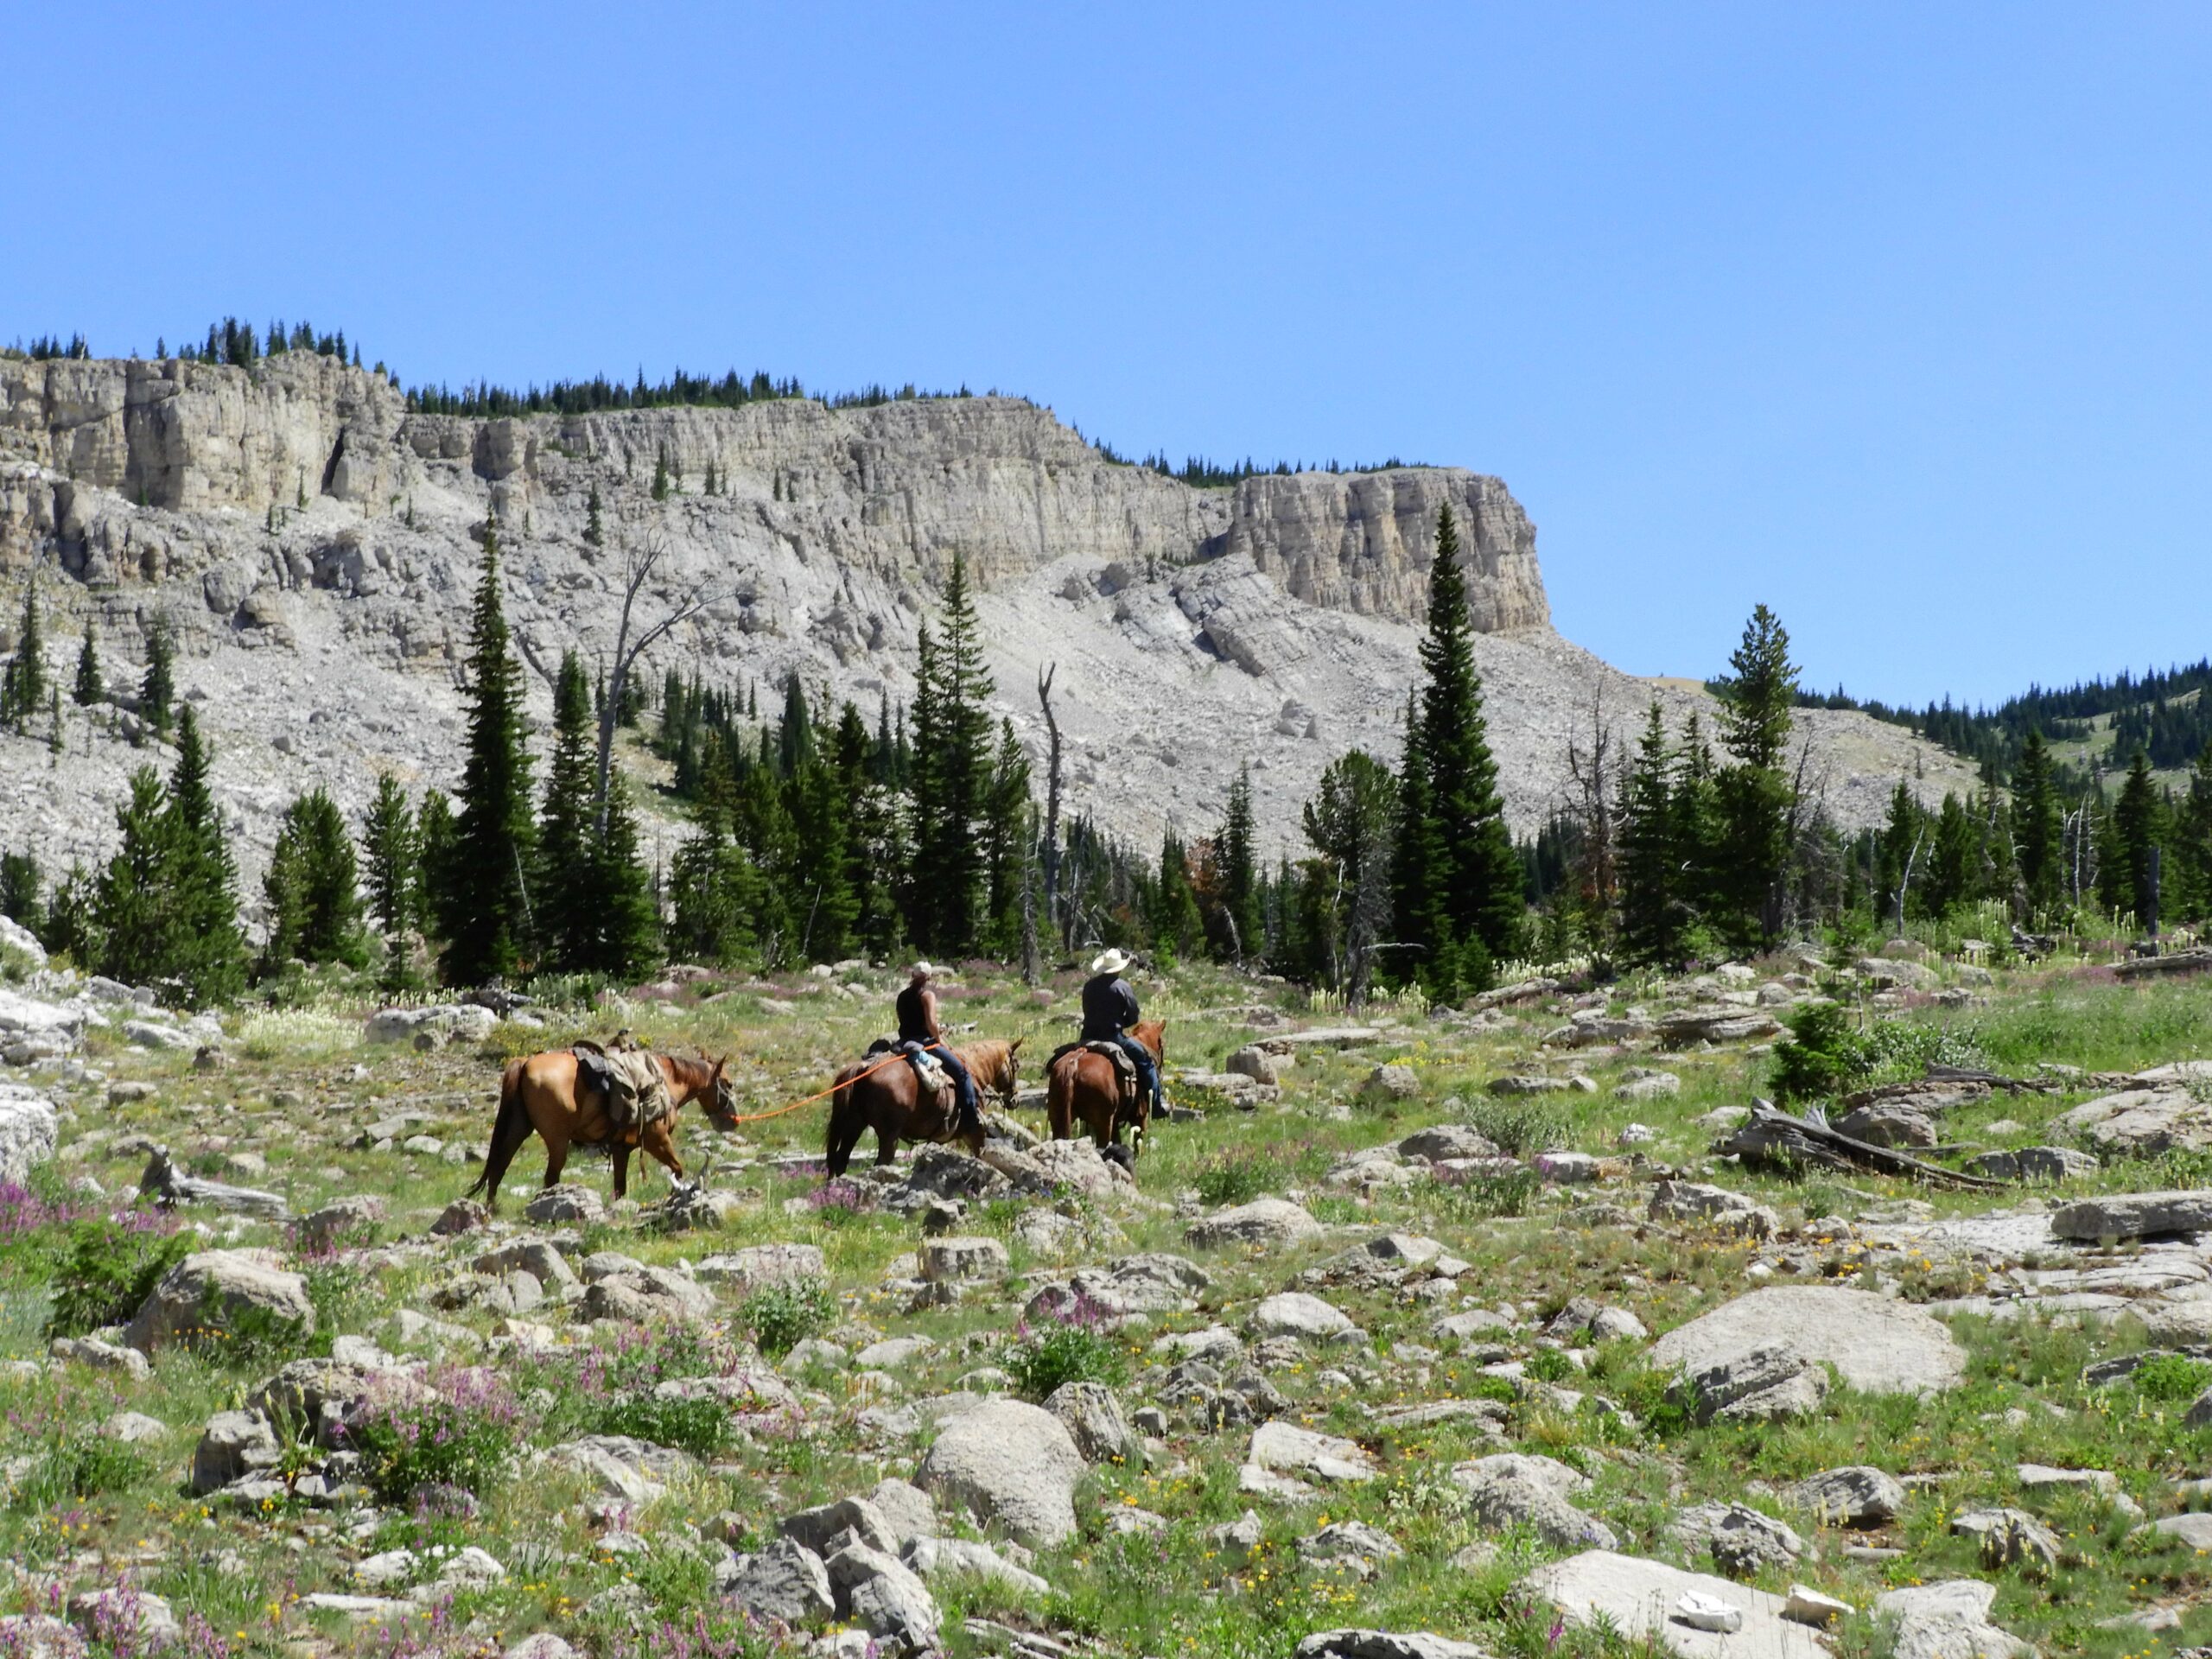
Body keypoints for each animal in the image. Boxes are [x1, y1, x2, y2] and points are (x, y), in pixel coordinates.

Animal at [467, 1052, 743, 1211]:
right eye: (729, 1083)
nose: (734, 1121)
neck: (666, 1081)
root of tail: (525, 1063)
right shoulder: (658, 1141)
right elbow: (677, 1169)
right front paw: (677, 1194)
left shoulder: (622, 1149)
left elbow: (620, 1187)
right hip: (558, 1141)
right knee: (550, 1177)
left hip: (519, 1128)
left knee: (500, 1165)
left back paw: (492, 1208)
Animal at [827, 1039, 1021, 1185]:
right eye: (1016, 1066)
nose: (1014, 1100)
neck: (974, 1071)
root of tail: (865, 1068)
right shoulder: (976, 1133)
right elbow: (980, 1158)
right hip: (889, 1135)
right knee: (881, 1162)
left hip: (855, 1125)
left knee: (842, 1159)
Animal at [1044, 1021, 1167, 1159]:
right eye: (1162, 1044)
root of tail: (1073, 1064)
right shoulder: (1139, 1117)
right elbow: (1138, 1143)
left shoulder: (1115, 1123)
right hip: (1103, 1124)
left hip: (1058, 1118)